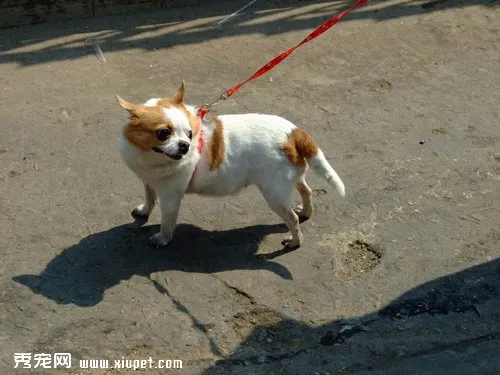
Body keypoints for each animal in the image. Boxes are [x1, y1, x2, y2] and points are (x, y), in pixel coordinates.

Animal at [116, 81, 344, 250]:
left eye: (189, 134)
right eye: (163, 133)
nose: (185, 146)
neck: (150, 157)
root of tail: (294, 132)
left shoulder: (171, 196)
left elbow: (167, 221)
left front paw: (163, 239)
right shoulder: (148, 181)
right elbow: (149, 197)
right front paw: (144, 210)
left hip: (274, 194)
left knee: (292, 218)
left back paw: (295, 241)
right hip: (291, 178)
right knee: (306, 190)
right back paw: (306, 211)